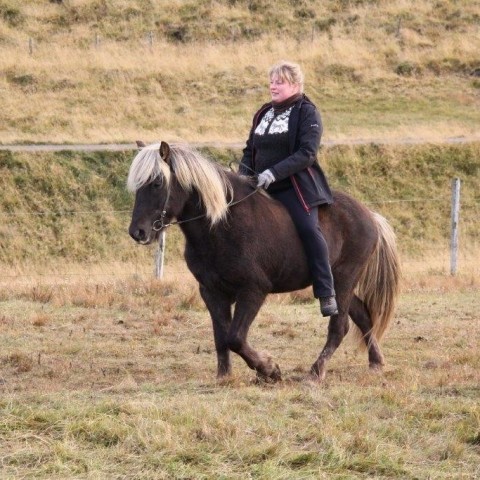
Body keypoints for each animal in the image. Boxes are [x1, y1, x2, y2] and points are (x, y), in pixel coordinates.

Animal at [127, 140, 402, 382]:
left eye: (157, 182)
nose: (137, 232)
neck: (222, 225)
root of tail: (370, 216)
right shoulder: (212, 292)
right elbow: (221, 336)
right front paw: (224, 376)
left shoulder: (253, 290)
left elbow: (235, 337)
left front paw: (269, 370)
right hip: (339, 283)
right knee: (363, 316)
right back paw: (376, 363)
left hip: (344, 279)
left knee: (339, 326)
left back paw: (316, 372)